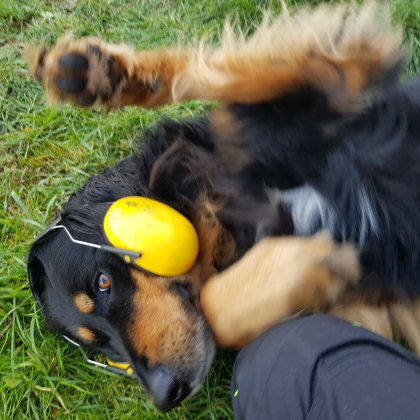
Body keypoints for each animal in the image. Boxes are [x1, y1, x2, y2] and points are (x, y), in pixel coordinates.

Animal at [26, 1, 420, 412]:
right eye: (100, 346)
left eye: (102, 282)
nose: (164, 395)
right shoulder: (374, 308)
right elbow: (216, 309)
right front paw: (300, 263)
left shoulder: (338, 80)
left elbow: (227, 72)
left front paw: (102, 75)